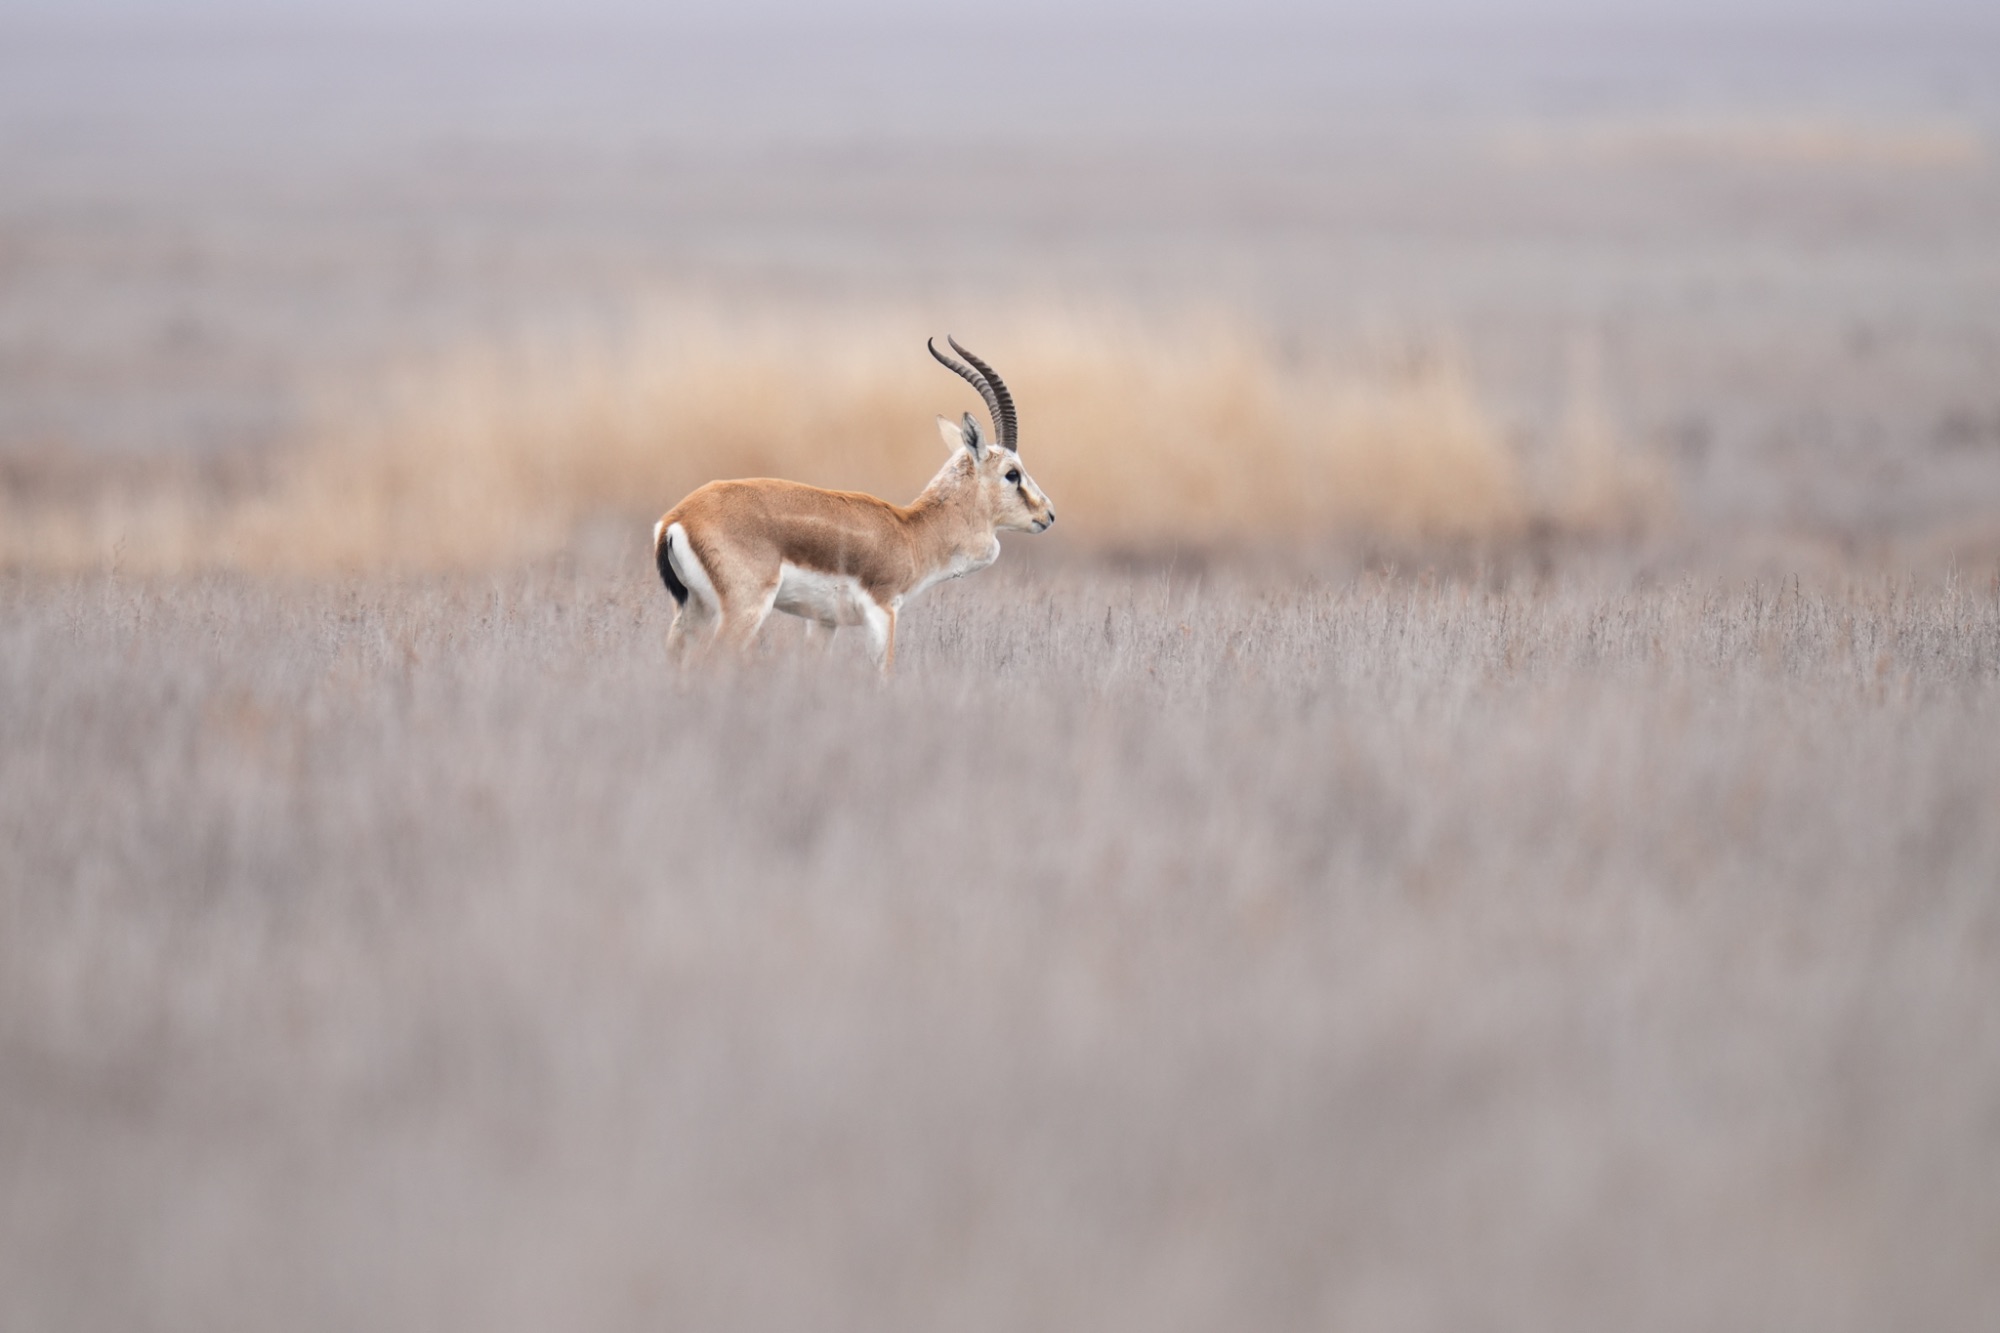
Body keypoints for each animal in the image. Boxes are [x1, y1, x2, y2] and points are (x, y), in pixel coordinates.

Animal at [652, 337, 1055, 673]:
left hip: (695, 609)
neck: (913, 532)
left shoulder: (823, 621)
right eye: (1012, 473)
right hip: (743, 610)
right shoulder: (883, 611)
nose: (1047, 514)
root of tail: (678, 517)